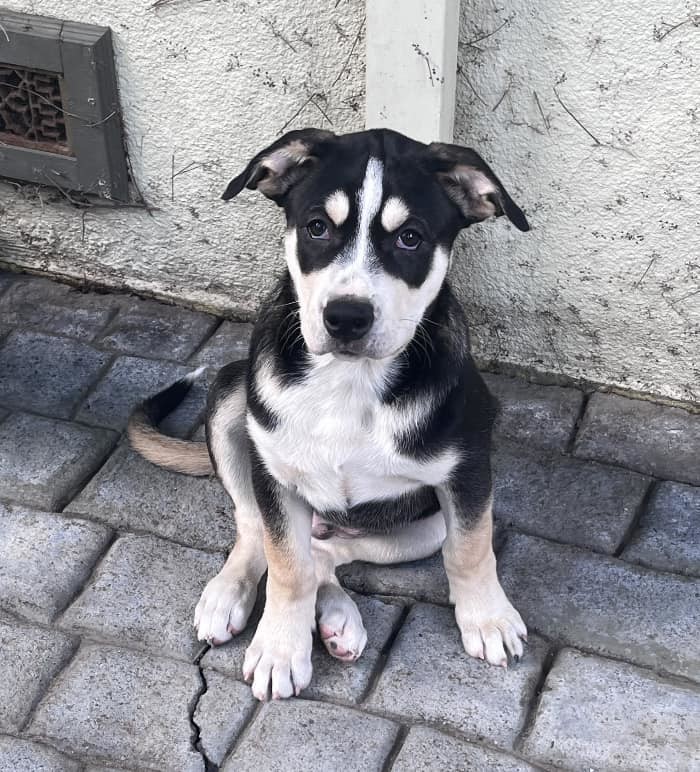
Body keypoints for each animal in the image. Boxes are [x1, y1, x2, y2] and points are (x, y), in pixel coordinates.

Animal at [127, 125, 532, 700]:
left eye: (411, 238)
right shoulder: (273, 474)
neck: (350, 380)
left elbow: (471, 550)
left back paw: (340, 620)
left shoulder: (469, 469)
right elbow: (286, 567)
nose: (346, 318)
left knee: (330, 554)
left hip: (424, 524)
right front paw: (280, 649)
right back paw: (230, 595)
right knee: (256, 530)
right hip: (231, 397)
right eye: (317, 227)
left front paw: (488, 619)